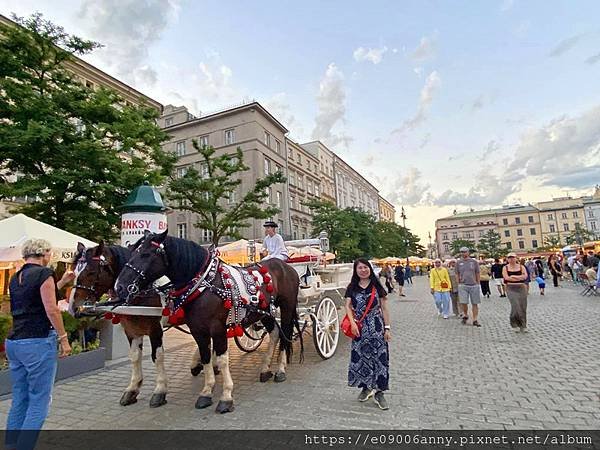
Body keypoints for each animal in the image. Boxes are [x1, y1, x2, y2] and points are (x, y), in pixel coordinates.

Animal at [116, 232, 304, 414]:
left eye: (146, 254)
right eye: (132, 253)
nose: (120, 286)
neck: (204, 284)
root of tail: (286, 266)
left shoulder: (217, 328)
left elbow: (222, 359)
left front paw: (226, 397)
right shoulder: (197, 330)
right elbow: (205, 356)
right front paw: (206, 392)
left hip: (286, 308)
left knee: (285, 335)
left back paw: (280, 370)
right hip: (264, 313)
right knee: (274, 334)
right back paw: (265, 369)